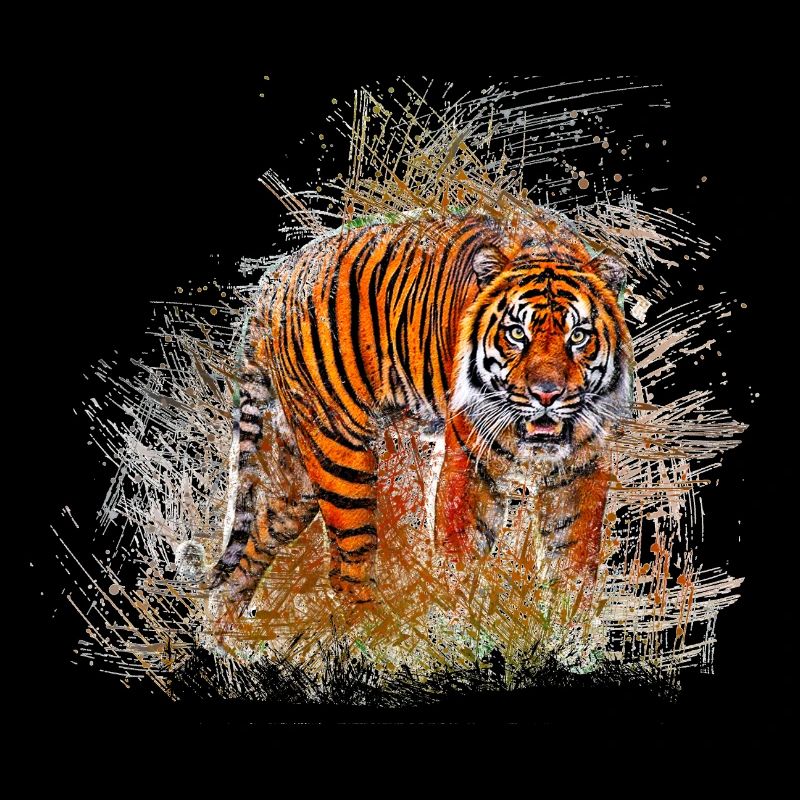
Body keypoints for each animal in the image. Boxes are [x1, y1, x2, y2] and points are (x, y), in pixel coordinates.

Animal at [207, 207, 634, 609]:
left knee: (250, 551)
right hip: (339, 454)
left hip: (295, 472)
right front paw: (459, 622)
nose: (546, 394)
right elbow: (461, 561)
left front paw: (568, 629)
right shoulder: (470, 464)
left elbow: (575, 566)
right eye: (517, 333)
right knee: (349, 569)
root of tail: (275, 281)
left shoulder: (583, 468)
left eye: (578, 336)